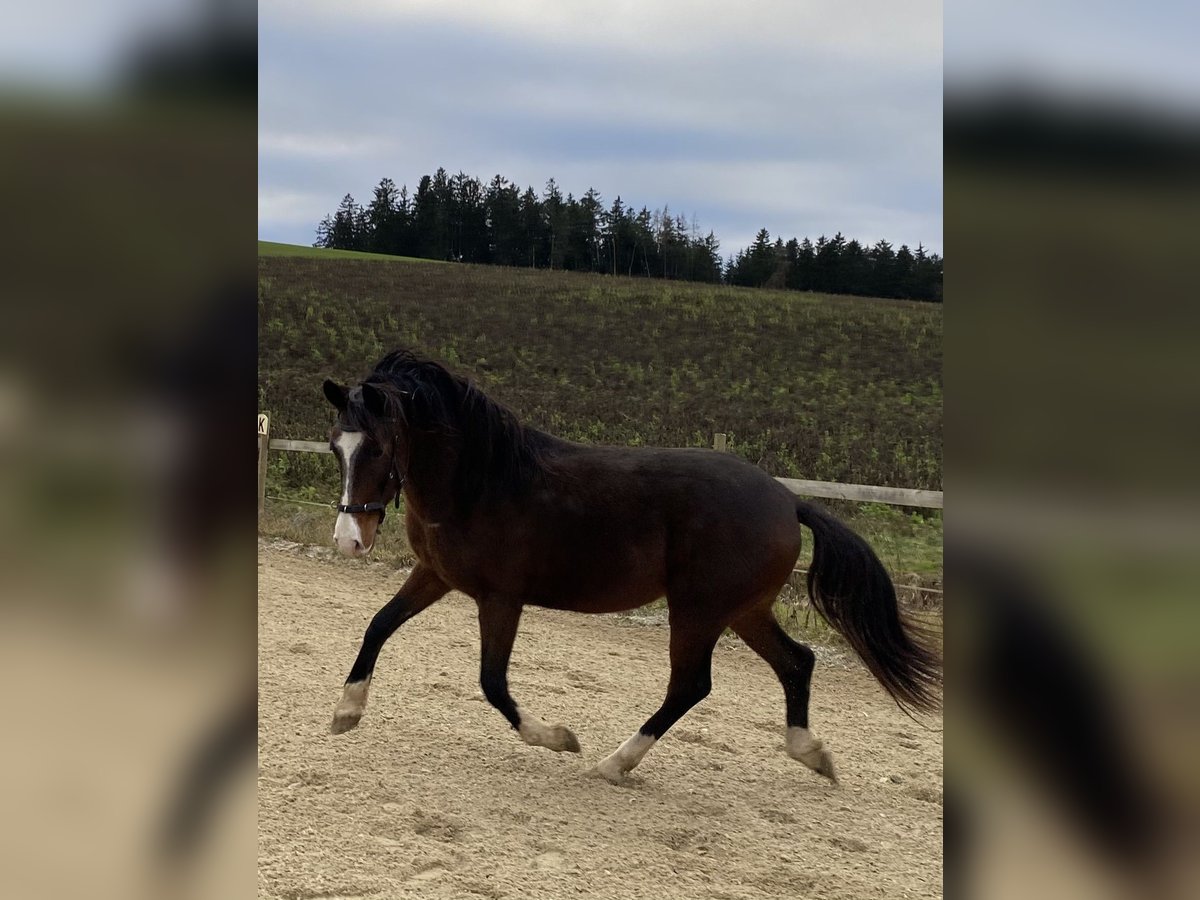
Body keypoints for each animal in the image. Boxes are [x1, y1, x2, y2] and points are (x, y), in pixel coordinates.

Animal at [324, 348, 940, 787]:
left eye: (376, 447)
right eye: (336, 446)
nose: (350, 540)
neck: (479, 483)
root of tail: (789, 501)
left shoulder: (500, 597)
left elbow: (493, 682)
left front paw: (559, 738)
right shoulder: (435, 576)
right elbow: (379, 624)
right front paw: (345, 712)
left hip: (698, 610)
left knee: (691, 684)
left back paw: (613, 763)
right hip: (743, 610)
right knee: (796, 662)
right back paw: (812, 754)